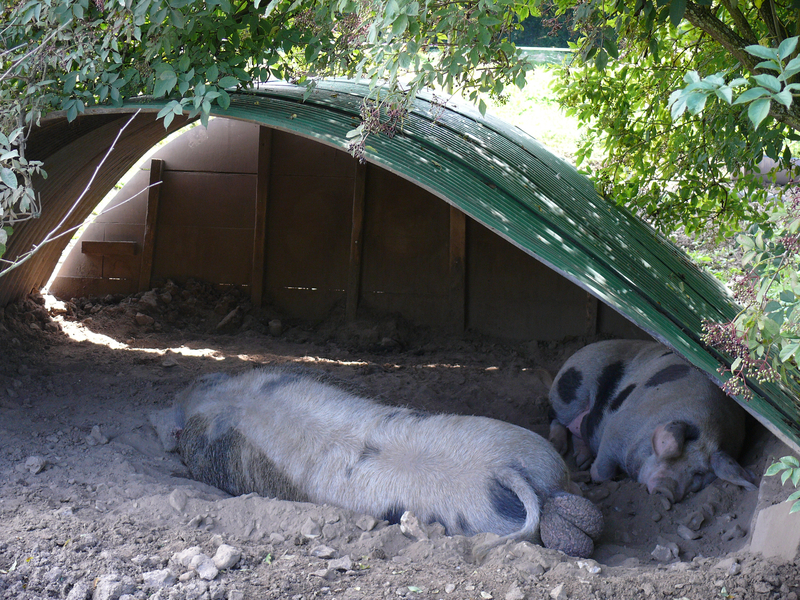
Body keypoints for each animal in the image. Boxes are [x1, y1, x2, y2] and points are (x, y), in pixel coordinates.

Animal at [548, 340, 760, 504]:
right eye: (673, 456)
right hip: (570, 391)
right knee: (556, 418)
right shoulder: (617, 427)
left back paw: (581, 460)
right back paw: (559, 447)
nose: (666, 490)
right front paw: (592, 473)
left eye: (698, 474)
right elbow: (602, 471)